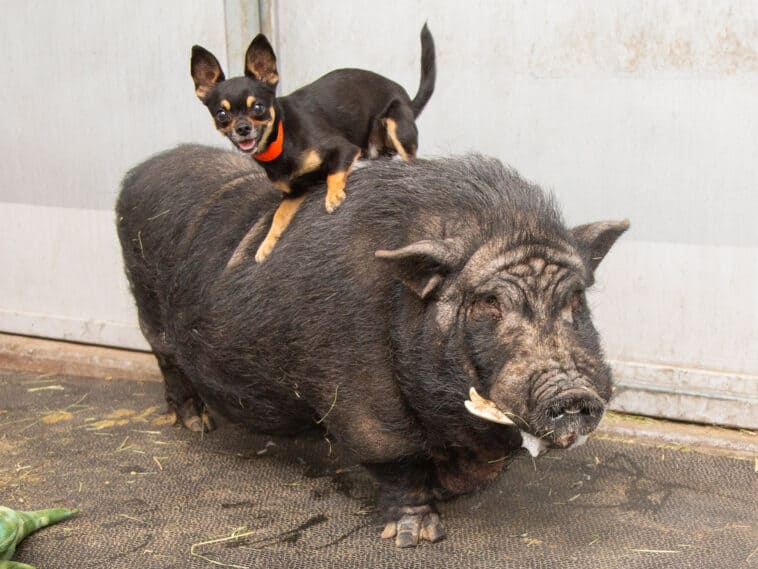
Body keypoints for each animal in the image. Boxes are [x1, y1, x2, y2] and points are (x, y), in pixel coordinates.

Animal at [116, 144, 628, 547]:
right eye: (489, 302)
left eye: (576, 298)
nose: (574, 393)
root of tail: (140, 170)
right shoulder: (361, 394)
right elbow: (395, 459)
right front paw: (416, 537)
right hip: (146, 304)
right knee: (168, 361)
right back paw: (196, 425)